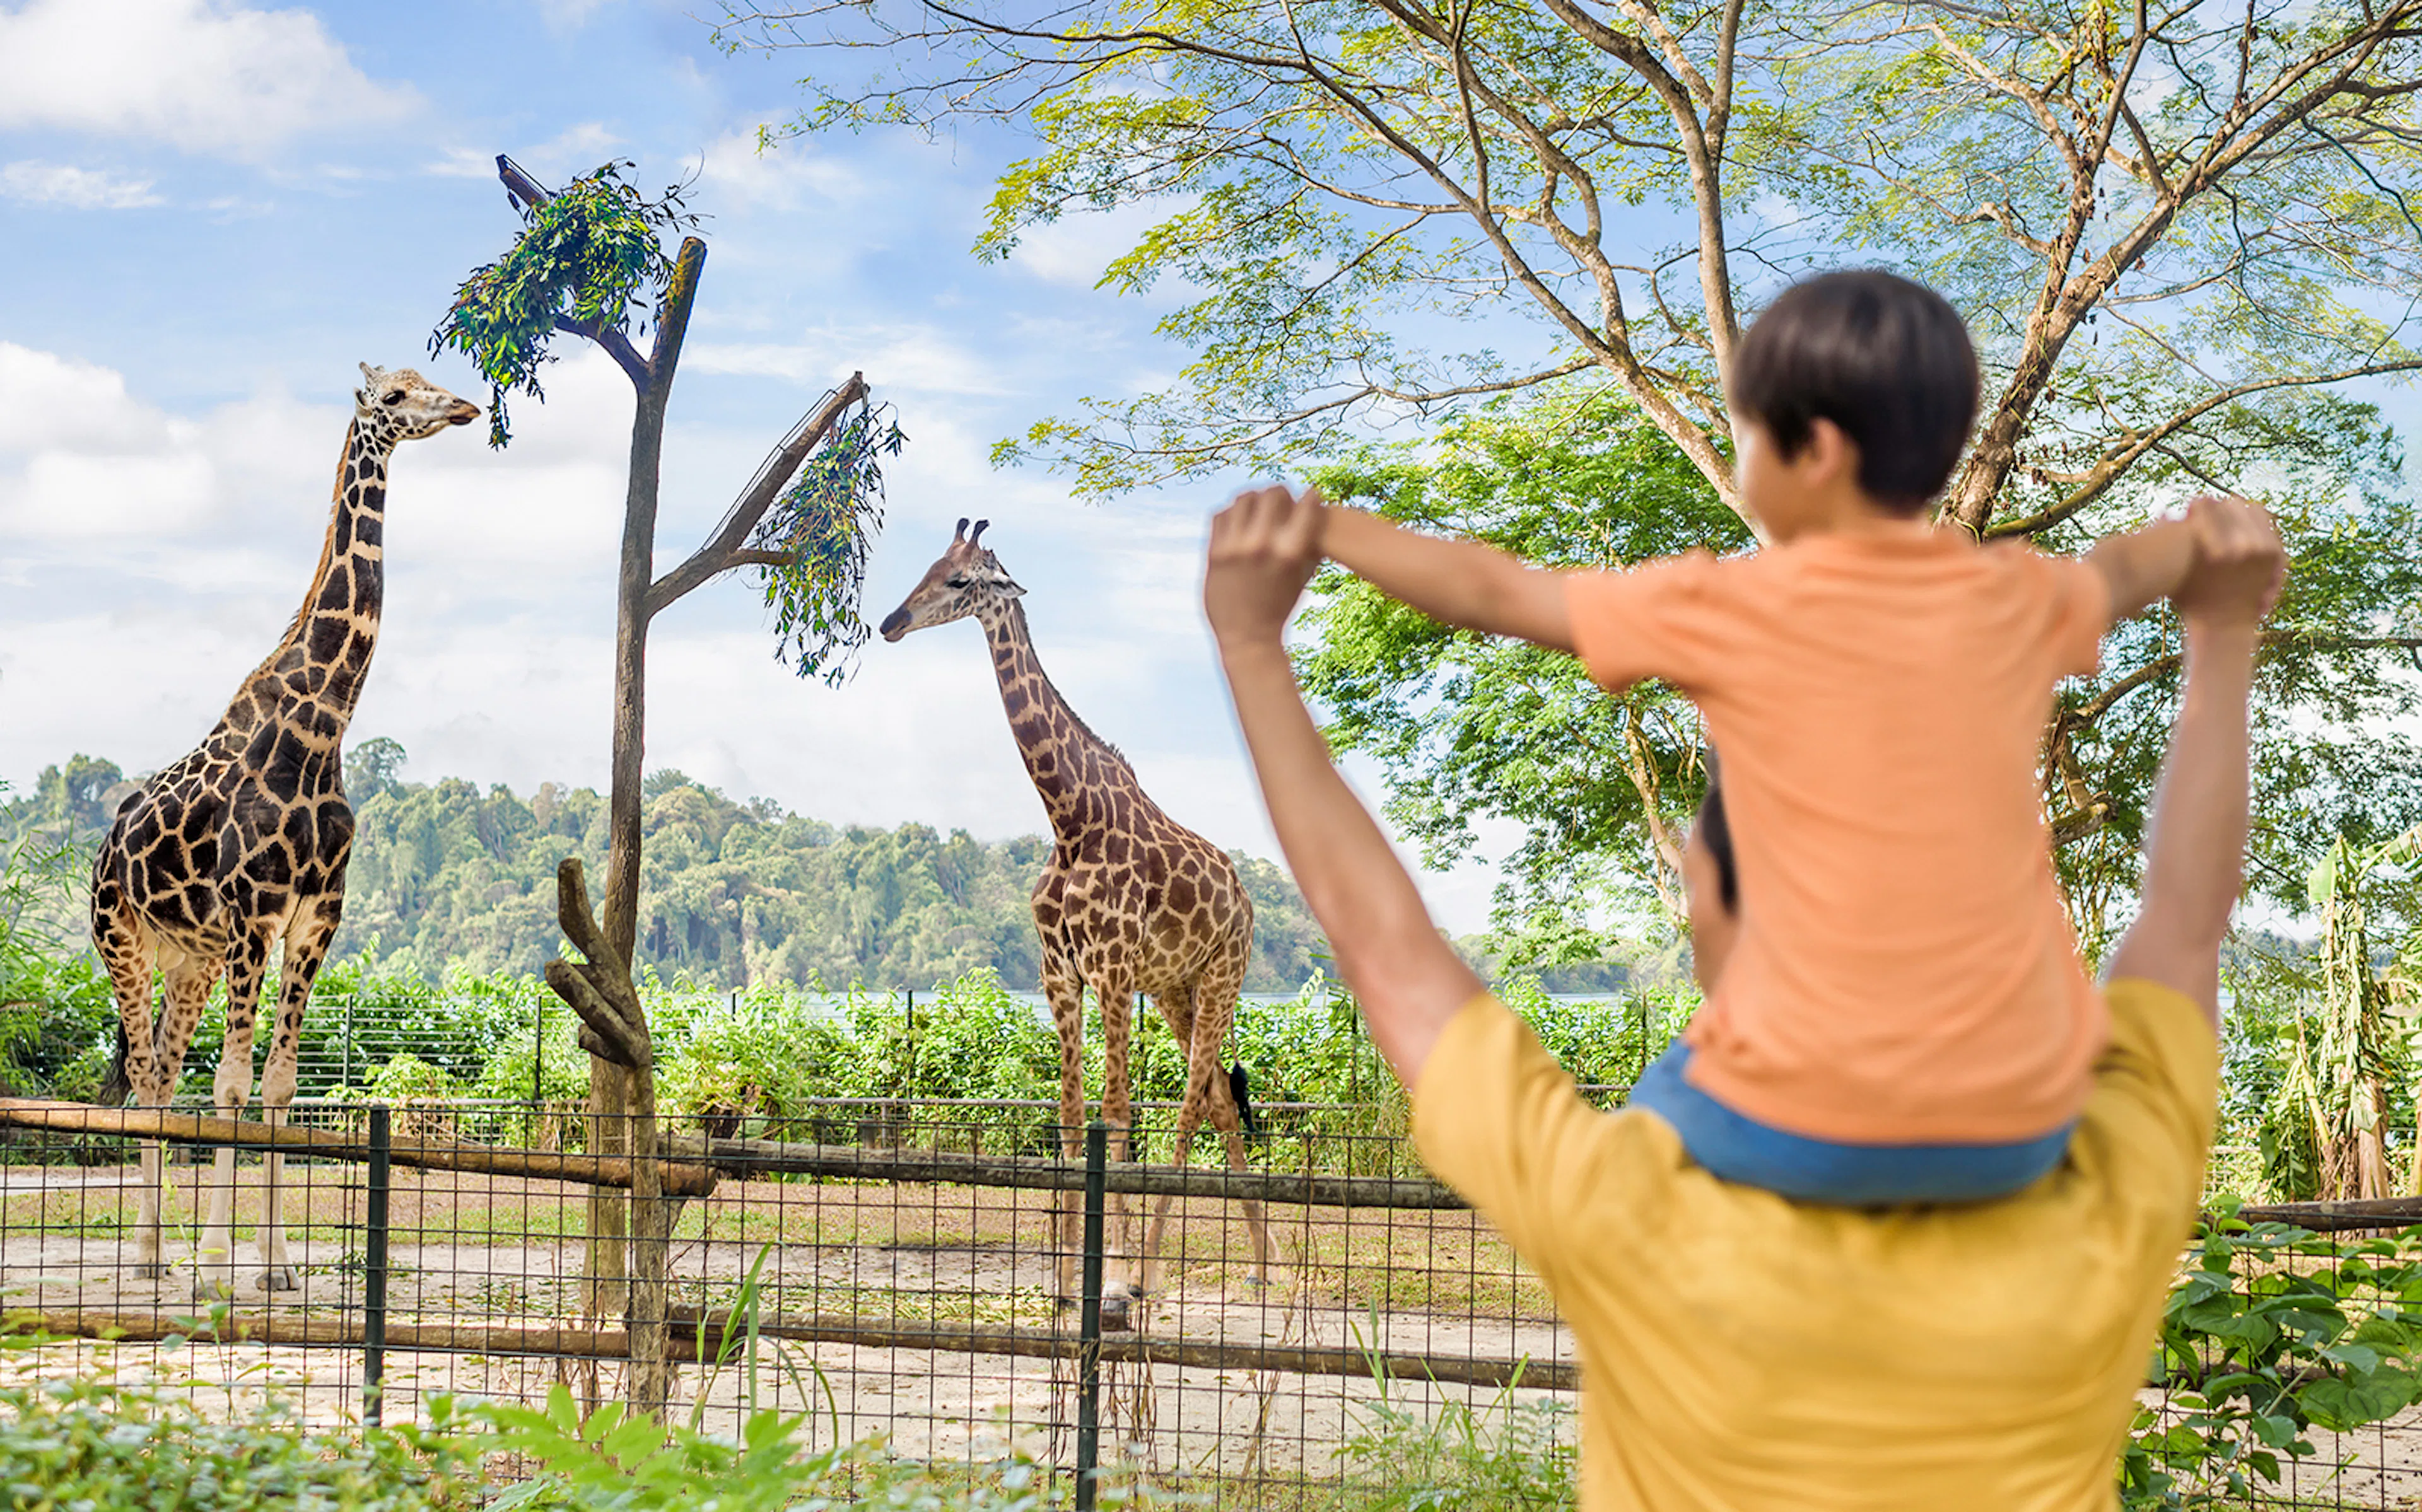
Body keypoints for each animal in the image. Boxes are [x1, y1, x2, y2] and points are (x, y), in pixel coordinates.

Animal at [90, 364, 478, 1296]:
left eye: (427, 380)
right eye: (395, 395)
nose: (464, 406)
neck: (322, 729)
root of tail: (104, 849)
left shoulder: (315, 918)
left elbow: (277, 1084)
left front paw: (274, 1264)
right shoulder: (255, 912)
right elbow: (230, 1085)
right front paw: (216, 1265)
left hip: (190, 959)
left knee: (163, 1073)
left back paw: (158, 1247)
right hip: (121, 940)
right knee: (149, 1074)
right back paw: (152, 1253)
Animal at [880, 519, 1271, 1321]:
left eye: (960, 581)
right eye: (927, 565)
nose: (890, 623)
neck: (1069, 818)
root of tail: (1247, 901)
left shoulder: (1112, 969)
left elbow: (1117, 1115)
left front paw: (1113, 1280)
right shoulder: (1059, 973)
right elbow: (1067, 1117)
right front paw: (1064, 1284)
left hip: (1223, 977)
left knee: (1190, 1104)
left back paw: (1152, 1270)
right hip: (1179, 990)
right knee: (1220, 1099)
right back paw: (1261, 1265)